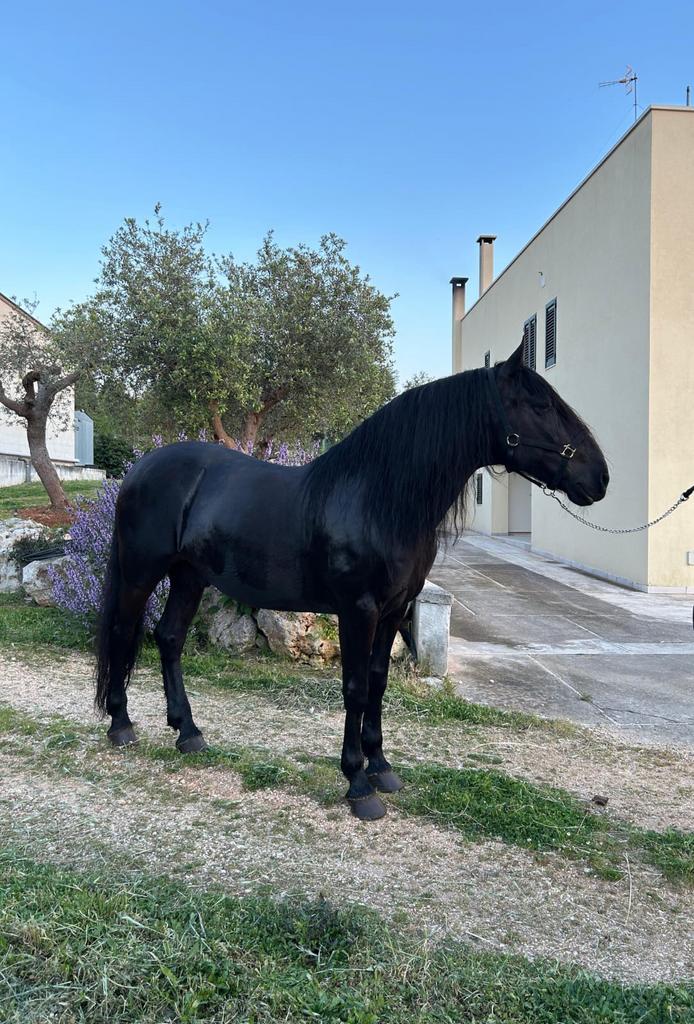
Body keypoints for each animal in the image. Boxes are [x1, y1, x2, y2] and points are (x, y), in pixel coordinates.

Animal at [95, 342, 609, 821]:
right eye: (540, 406)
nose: (600, 478)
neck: (378, 499)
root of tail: (141, 468)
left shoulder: (394, 610)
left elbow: (378, 683)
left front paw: (381, 767)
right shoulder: (358, 610)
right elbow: (356, 688)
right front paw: (358, 784)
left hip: (189, 577)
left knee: (169, 638)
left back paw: (188, 733)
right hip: (142, 573)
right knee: (123, 631)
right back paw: (121, 724)